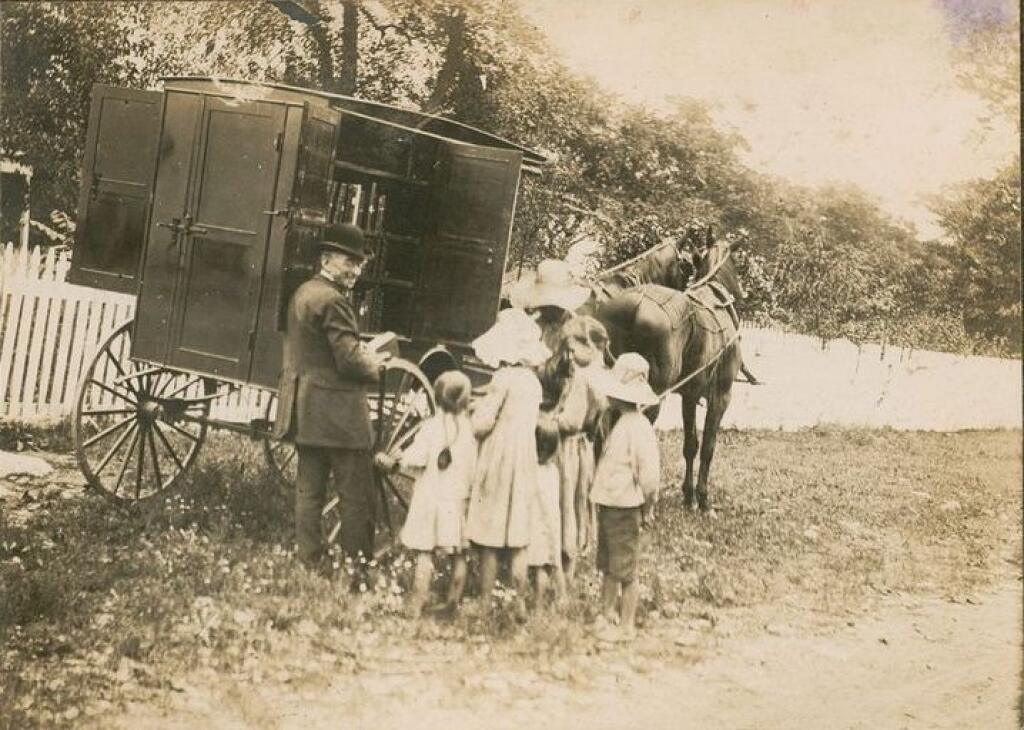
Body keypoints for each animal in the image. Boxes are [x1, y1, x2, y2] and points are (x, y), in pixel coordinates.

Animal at [585, 239, 745, 511]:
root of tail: (632, 308)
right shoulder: (721, 395)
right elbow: (708, 446)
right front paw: (703, 499)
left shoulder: (690, 395)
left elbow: (691, 445)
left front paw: (689, 496)